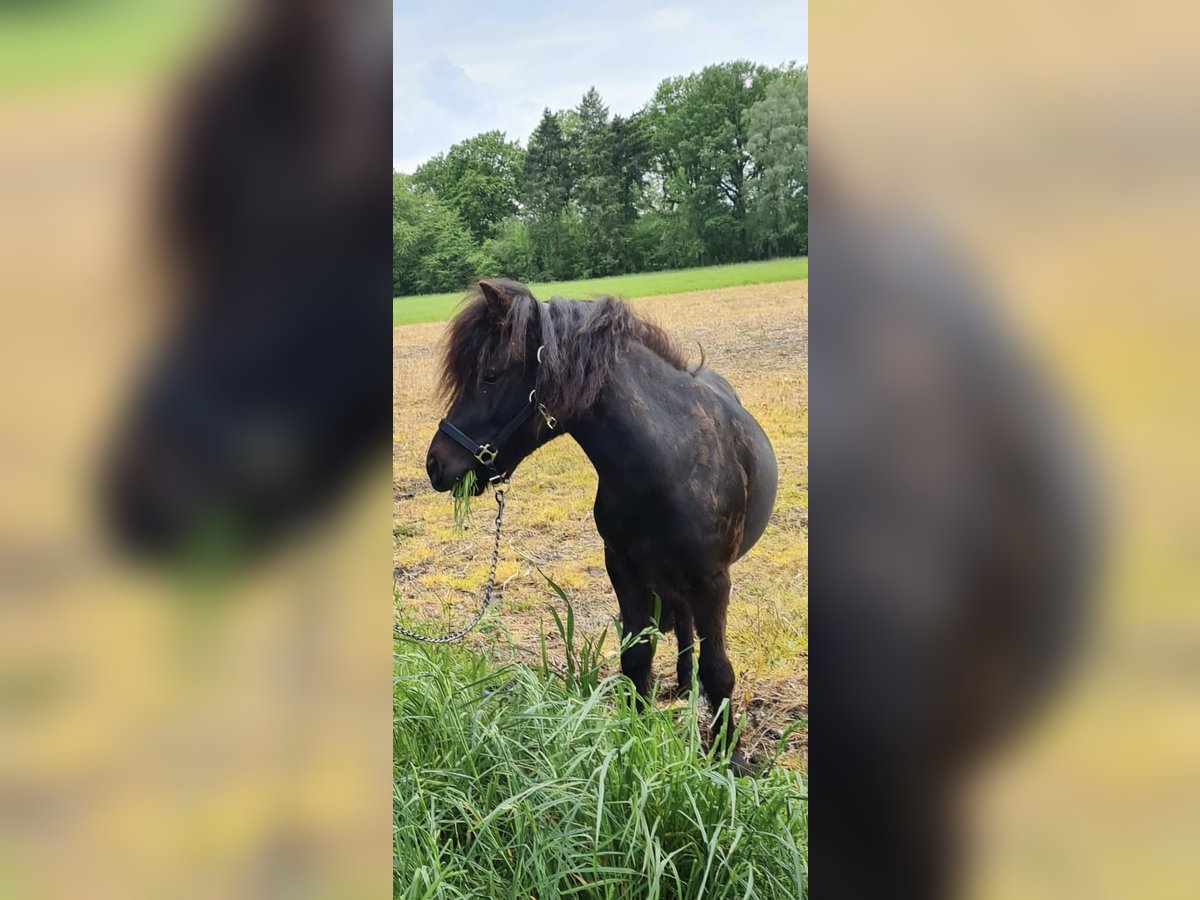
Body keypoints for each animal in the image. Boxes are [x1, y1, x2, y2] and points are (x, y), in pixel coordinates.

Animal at [427, 280, 782, 768]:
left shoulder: (713, 581)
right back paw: (683, 684)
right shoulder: (624, 570)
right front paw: (635, 733)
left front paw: (730, 759)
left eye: (491, 376)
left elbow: (719, 671)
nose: (435, 465)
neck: (668, 461)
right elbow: (637, 657)